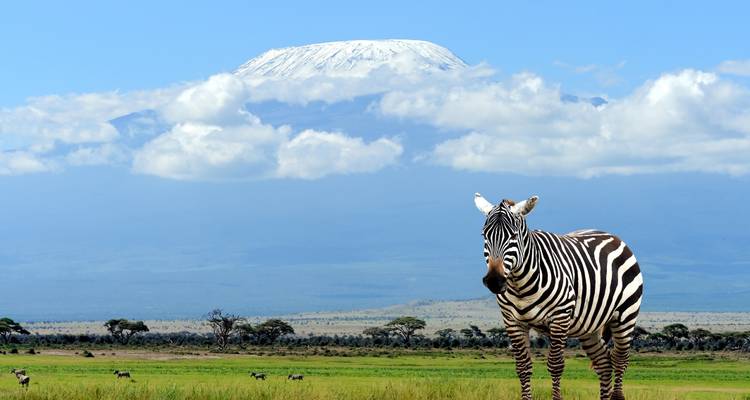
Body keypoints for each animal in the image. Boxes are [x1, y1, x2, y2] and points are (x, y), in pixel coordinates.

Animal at [474, 193, 643, 400]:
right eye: (484, 235)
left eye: (513, 236)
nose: (494, 281)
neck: (520, 285)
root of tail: (612, 236)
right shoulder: (512, 321)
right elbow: (522, 367)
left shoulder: (560, 317)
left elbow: (555, 365)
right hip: (589, 326)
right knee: (604, 363)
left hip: (625, 315)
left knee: (619, 359)